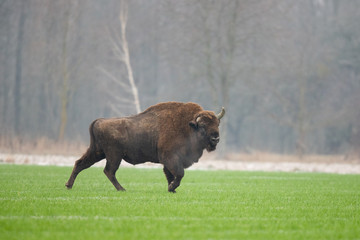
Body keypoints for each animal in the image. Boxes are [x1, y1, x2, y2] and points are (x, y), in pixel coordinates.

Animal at [65, 101, 225, 193]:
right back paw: (122, 189)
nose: (216, 138)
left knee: (80, 164)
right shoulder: (170, 158)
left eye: (217, 124)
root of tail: (98, 121)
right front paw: (172, 187)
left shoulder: (169, 162)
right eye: (202, 126)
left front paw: (171, 189)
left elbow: (170, 174)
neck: (188, 126)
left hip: (97, 152)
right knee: (109, 171)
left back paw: (68, 185)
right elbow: (179, 174)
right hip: (114, 156)